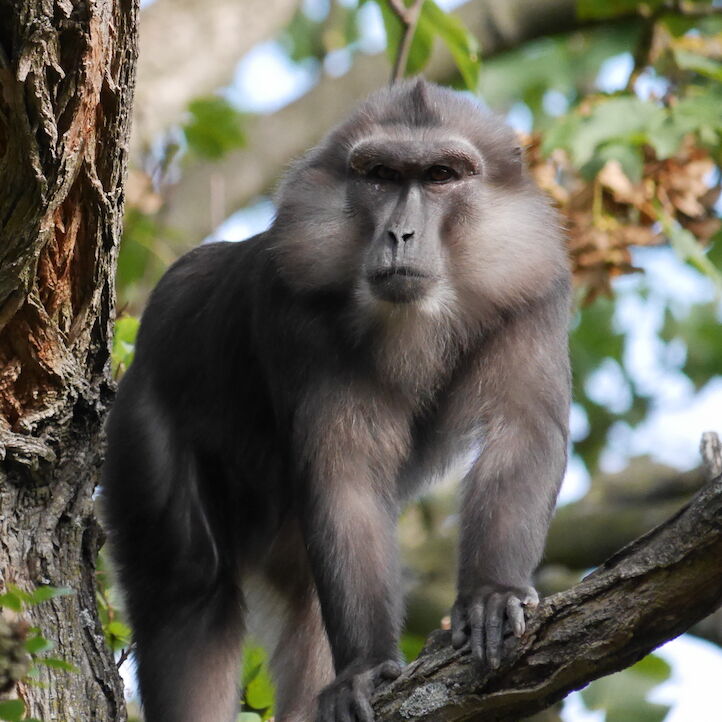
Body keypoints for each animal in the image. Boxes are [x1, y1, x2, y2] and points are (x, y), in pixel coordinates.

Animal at [102, 79, 568, 720]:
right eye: (381, 175)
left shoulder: (533, 287)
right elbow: (344, 473)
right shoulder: (295, 306)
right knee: (190, 575)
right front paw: (365, 668)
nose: (400, 234)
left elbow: (523, 432)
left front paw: (492, 594)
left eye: (442, 175)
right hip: (142, 418)